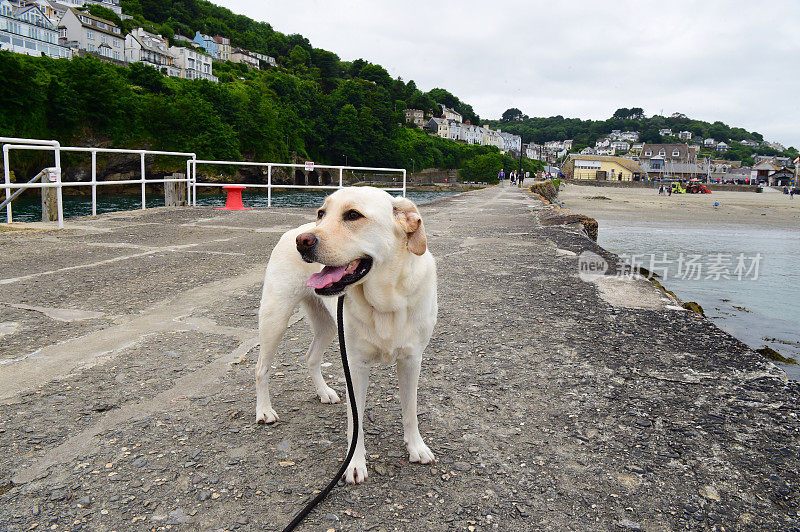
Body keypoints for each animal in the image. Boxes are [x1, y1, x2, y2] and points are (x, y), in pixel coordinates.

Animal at [255, 186, 438, 482]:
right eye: (321, 213)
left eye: (353, 215)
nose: (302, 242)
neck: (386, 303)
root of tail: (294, 228)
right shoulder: (354, 365)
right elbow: (356, 420)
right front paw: (354, 463)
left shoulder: (412, 360)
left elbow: (410, 410)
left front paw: (416, 447)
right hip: (275, 317)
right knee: (261, 368)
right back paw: (264, 410)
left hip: (329, 326)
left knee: (311, 357)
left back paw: (324, 392)